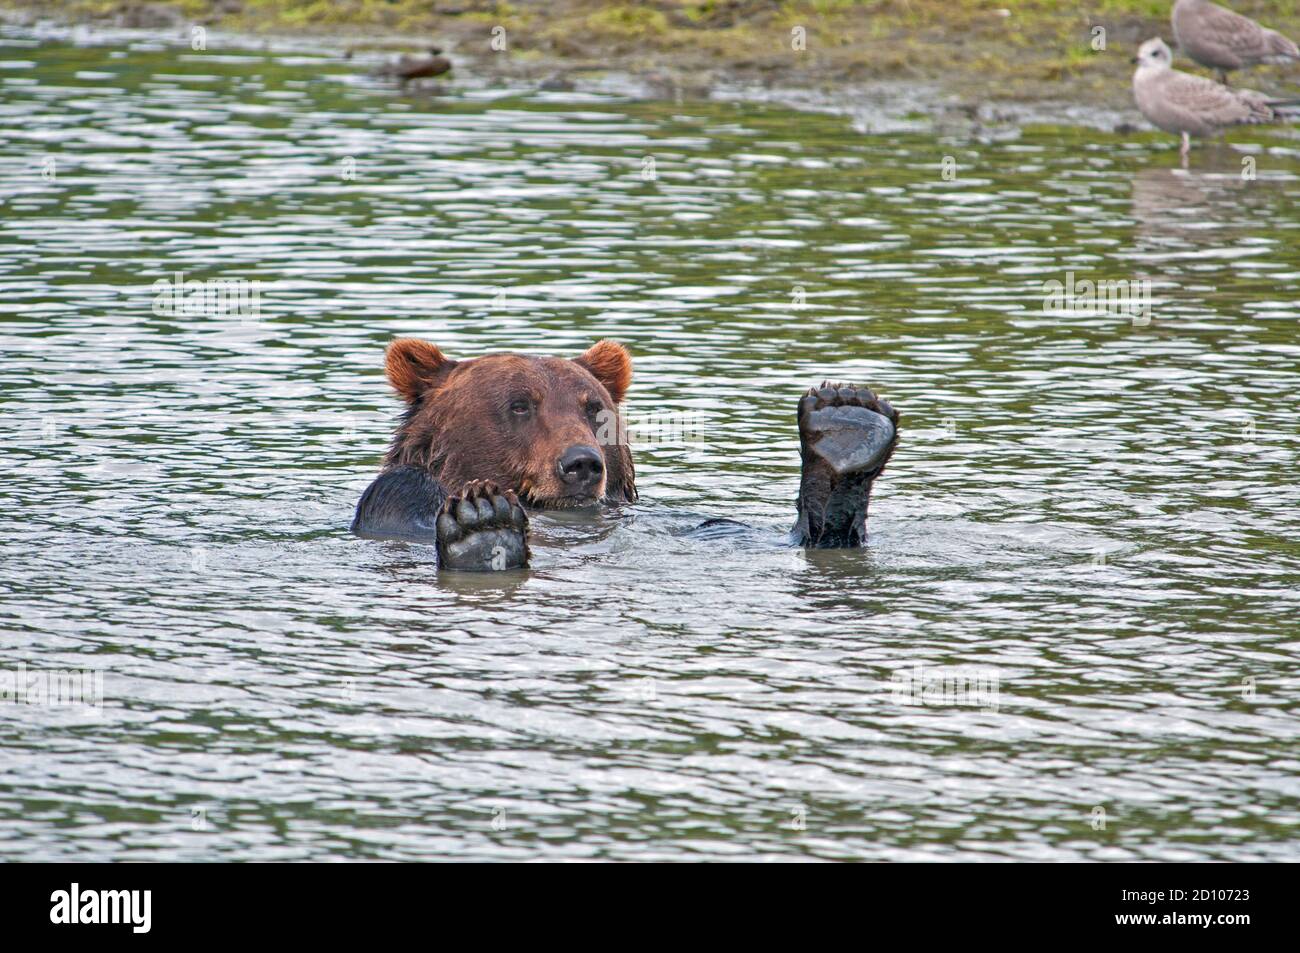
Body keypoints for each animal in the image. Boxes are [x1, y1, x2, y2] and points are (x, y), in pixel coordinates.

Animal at [351, 338, 899, 571]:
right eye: (520, 405)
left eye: (593, 408)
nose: (582, 463)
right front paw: (480, 515)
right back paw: (484, 535)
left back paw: (845, 431)